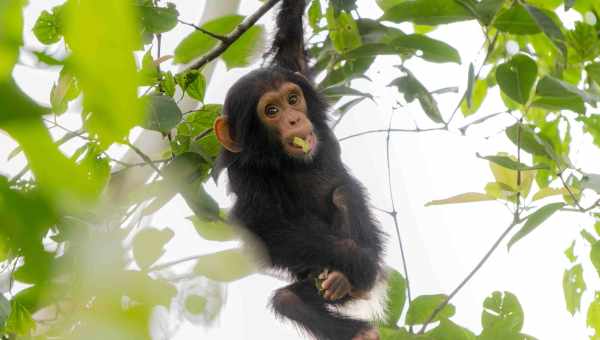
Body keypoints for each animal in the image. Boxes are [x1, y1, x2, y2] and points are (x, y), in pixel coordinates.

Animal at [212, 1, 384, 338]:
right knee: (288, 300)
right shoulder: (245, 176)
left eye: (293, 98)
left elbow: (290, 43)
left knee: (343, 193)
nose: (293, 119)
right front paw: (354, 258)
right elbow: (263, 227)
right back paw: (353, 309)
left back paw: (347, 281)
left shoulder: (296, 70)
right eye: (272, 110)